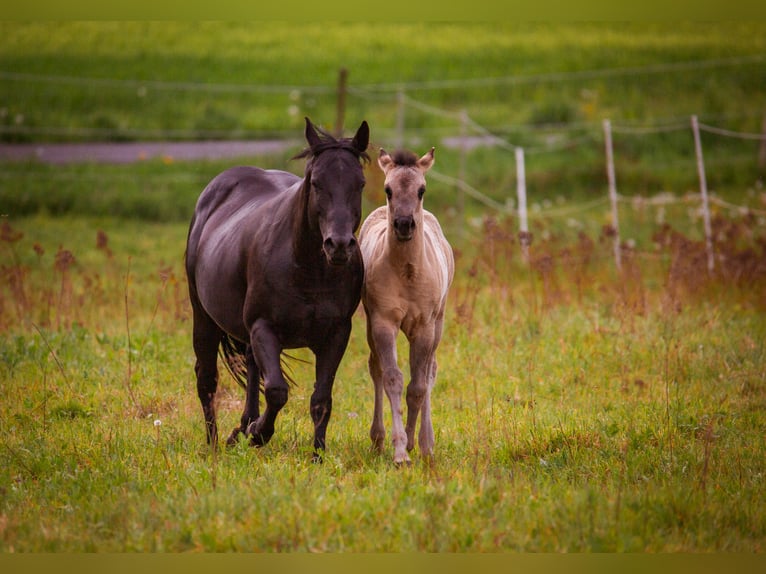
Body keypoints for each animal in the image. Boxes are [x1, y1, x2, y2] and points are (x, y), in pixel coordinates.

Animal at [185, 117, 370, 459]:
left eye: (360, 183)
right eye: (315, 183)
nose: (338, 245)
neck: (309, 270)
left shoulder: (336, 334)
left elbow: (321, 399)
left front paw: (317, 455)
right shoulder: (264, 327)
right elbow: (276, 391)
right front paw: (259, 434)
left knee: (251, 366)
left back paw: (241, 428)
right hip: (203, 316)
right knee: (207, 379)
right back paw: (215, 443)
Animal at [359, 147, 454, 465]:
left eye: (421, 190)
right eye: (388, 190)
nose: (403, 224)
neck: (407, 272)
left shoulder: (424, 327)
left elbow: (418, 386)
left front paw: (418, 444)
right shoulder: (382, 323)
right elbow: (393, 378)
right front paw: (400, 451)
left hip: (439, 322)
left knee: (430, 372)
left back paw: (426, 440)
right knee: (376, 368)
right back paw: (378, 438)